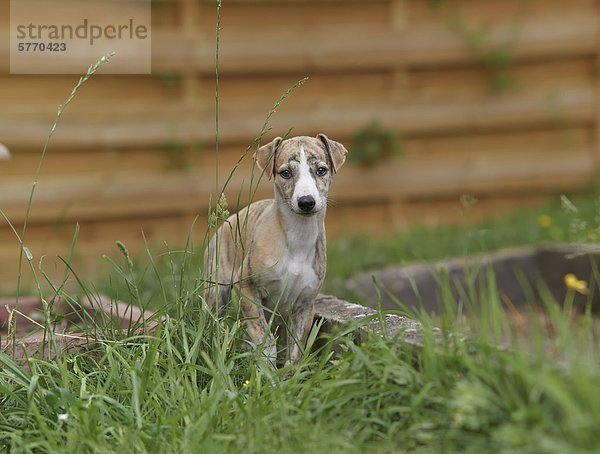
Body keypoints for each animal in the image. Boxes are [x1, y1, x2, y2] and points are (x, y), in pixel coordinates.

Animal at [205, 132, 350, 366]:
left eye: (321, 170)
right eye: (285, 173)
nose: (306, 202)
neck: (298, 236)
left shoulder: (305, 305)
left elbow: (295, 351)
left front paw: (286, 375)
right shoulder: (246, 288)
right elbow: (264, 338)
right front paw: (267, 369)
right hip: (216, 292)